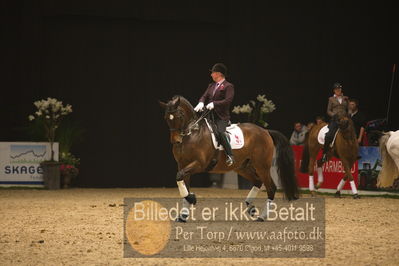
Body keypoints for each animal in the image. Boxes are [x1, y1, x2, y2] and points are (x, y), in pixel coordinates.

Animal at [161, 95, 298, 222]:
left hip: (262, 166)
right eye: (167, 118)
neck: (191, 134)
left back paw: (262, 216)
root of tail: (265, 131)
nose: (176, 141)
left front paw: (192, 199)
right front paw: (183, 215)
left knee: (271, 187)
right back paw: (250, 207)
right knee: (257, 181)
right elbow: (183, 183)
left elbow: (179, 176)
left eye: (180, 116)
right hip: (243, 167)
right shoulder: (183, 165)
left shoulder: (199, 164)